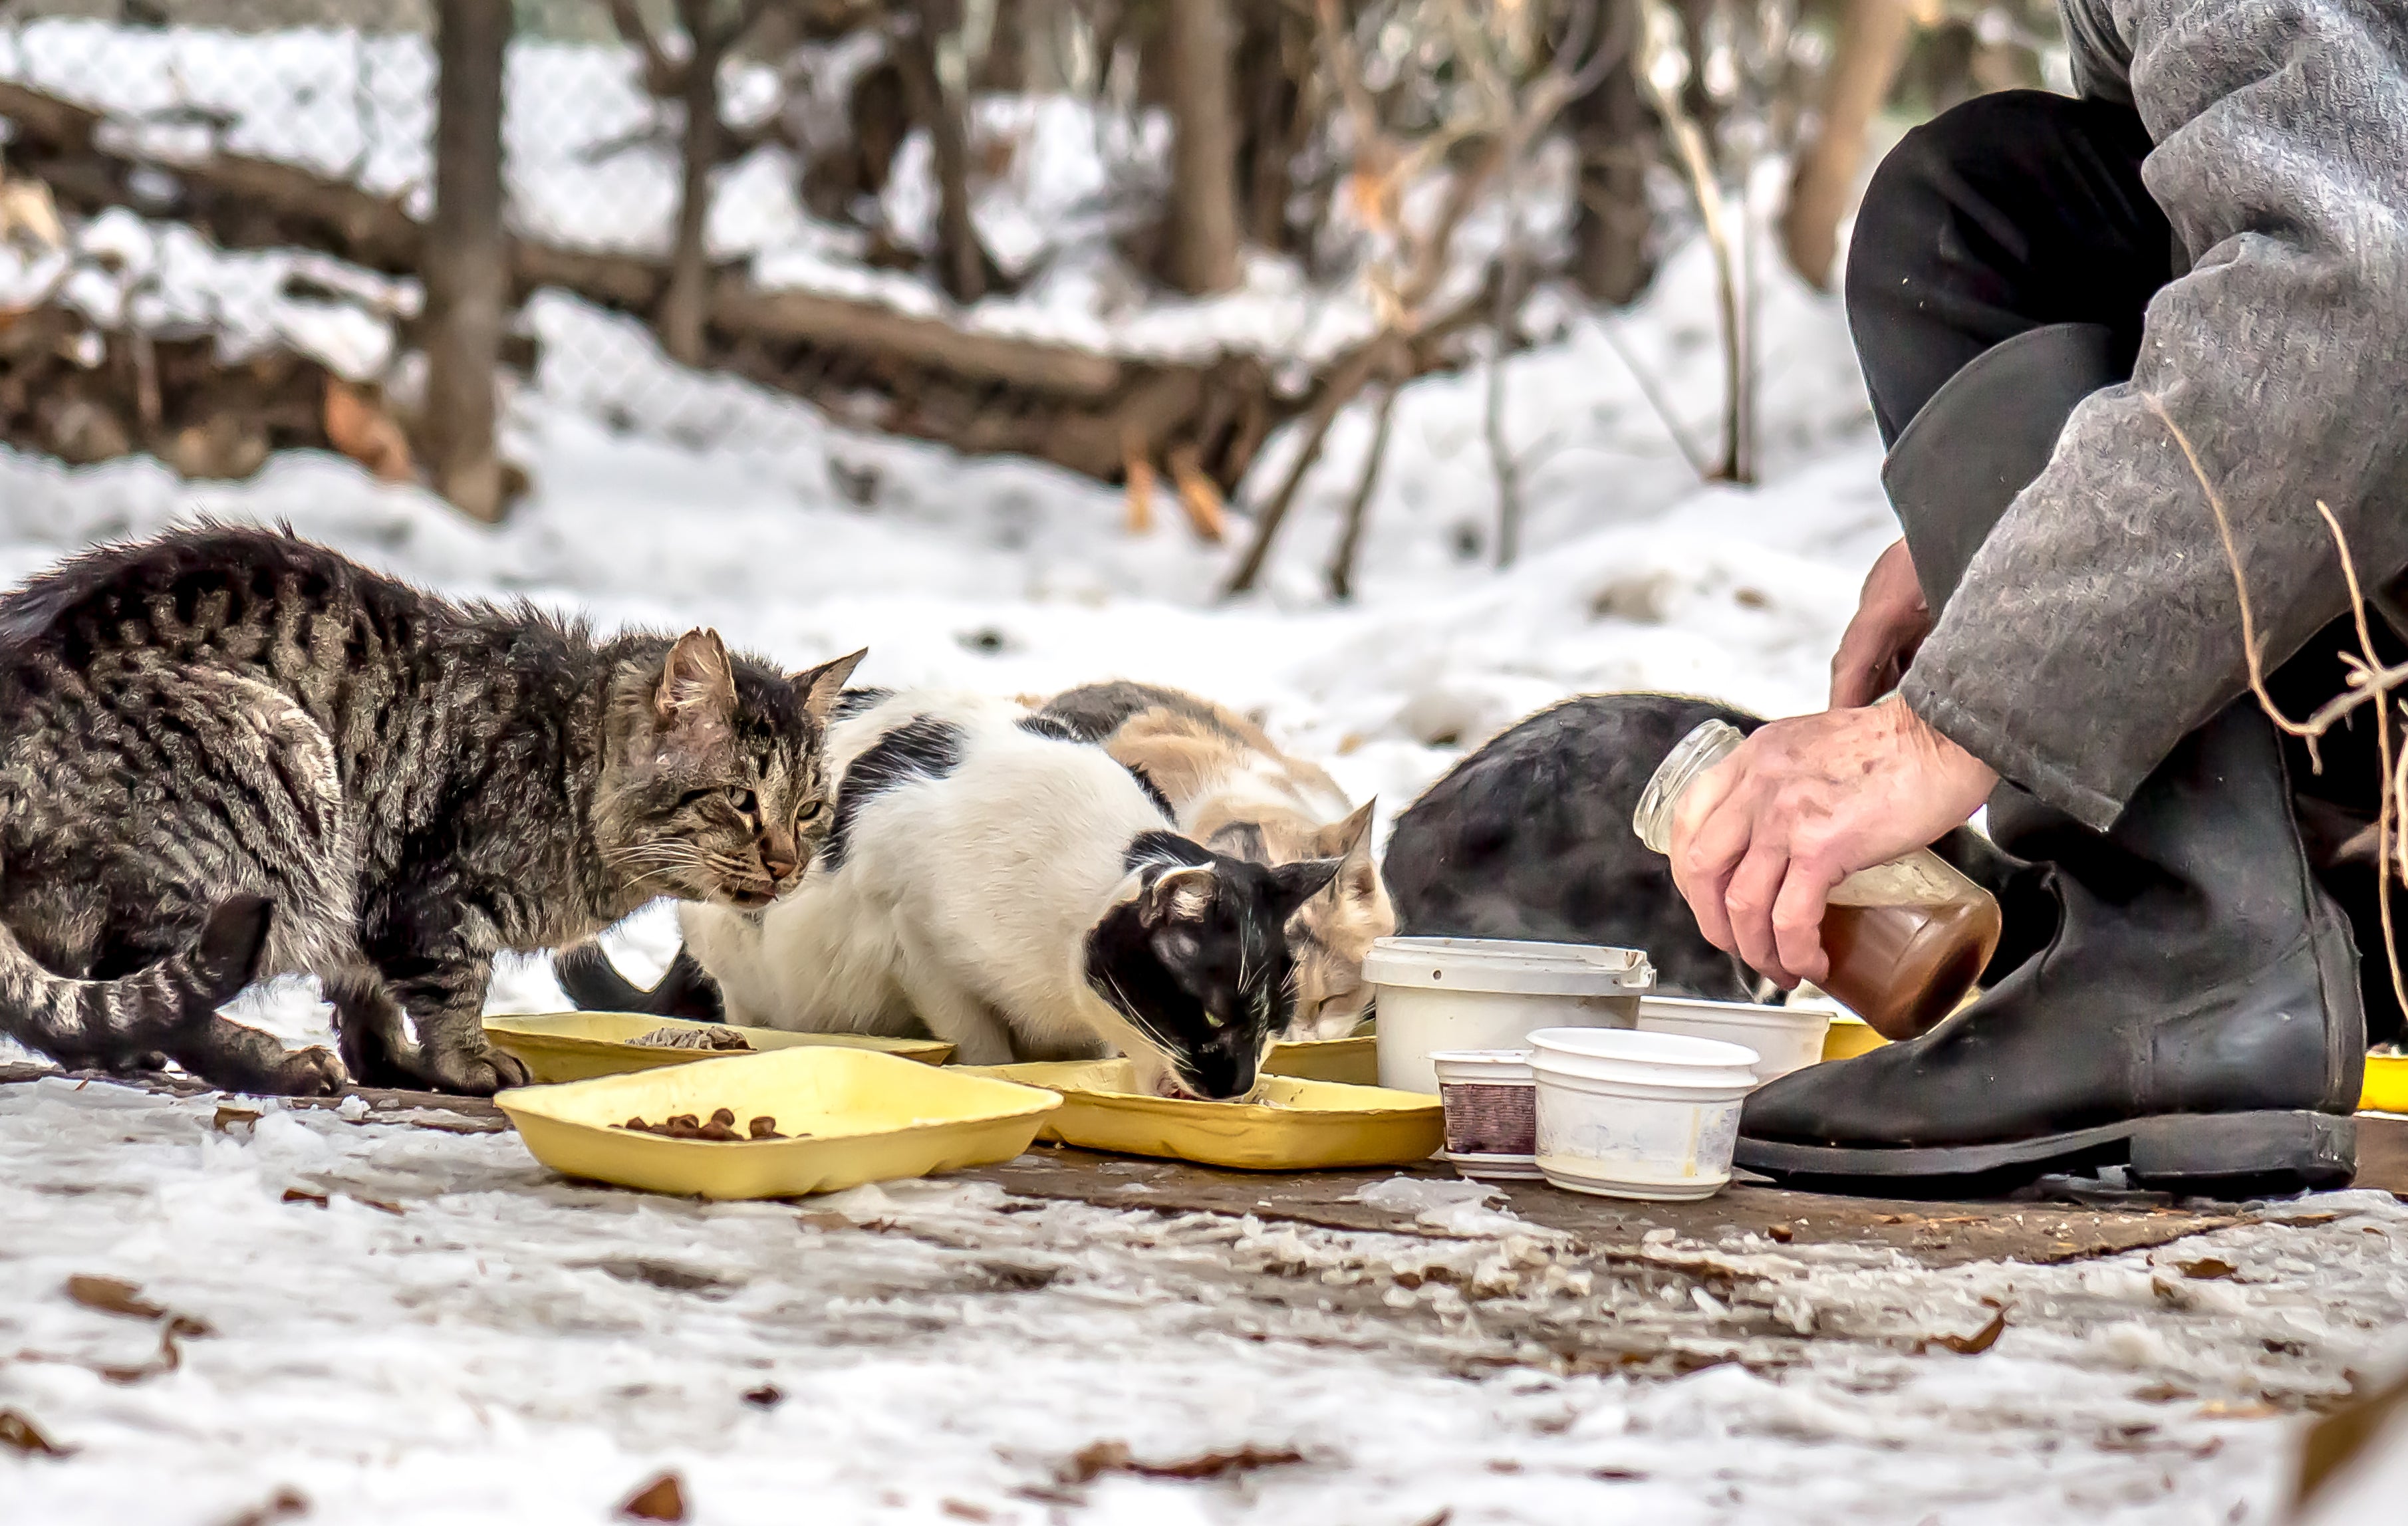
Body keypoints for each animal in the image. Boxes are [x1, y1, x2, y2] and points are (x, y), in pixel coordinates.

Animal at [0, 525, 867, 1092]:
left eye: (810, 810)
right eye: (742, 802)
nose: (787, 865)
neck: (570, 767)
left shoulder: (368, 907)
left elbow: (368, 1001)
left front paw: (395, 1061)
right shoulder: (430, 895)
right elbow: (450, 984)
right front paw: (465, 1062)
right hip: (275, 769)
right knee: (151, 975)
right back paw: (276, 1066)